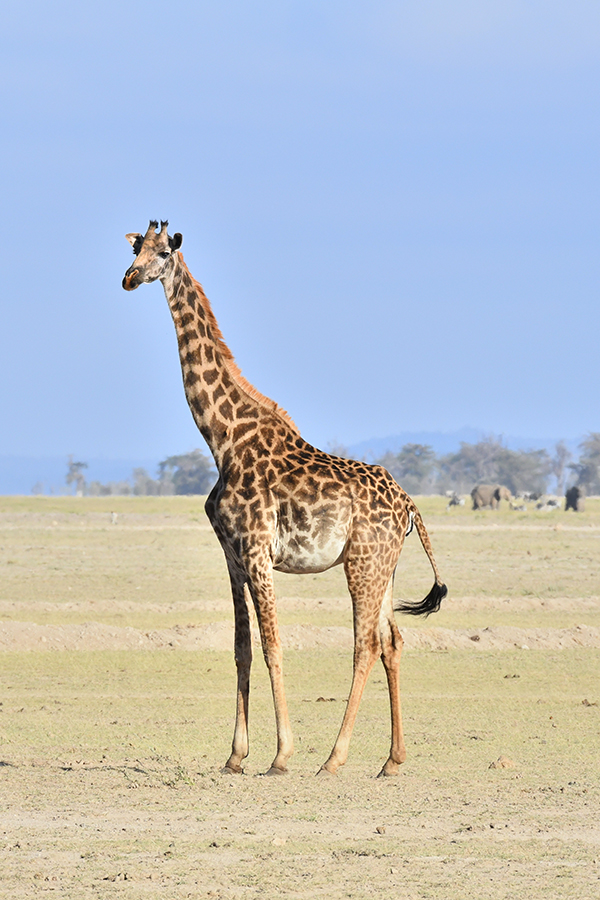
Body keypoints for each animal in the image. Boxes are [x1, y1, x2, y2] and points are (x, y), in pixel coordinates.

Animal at [123, 221, 450, 776]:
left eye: (163, 252)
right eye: (135, 248)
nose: (129, 277)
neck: (222, 438)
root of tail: (409, 505)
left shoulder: (257, 551)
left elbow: (274, 646)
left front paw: (281, 755)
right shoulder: (232, 555)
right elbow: (241, 648)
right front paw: (234, 756)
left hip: (361, 564)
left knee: (365, 644)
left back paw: (334, 759)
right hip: (384, 567)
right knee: (393, 642)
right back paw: (392, 760)